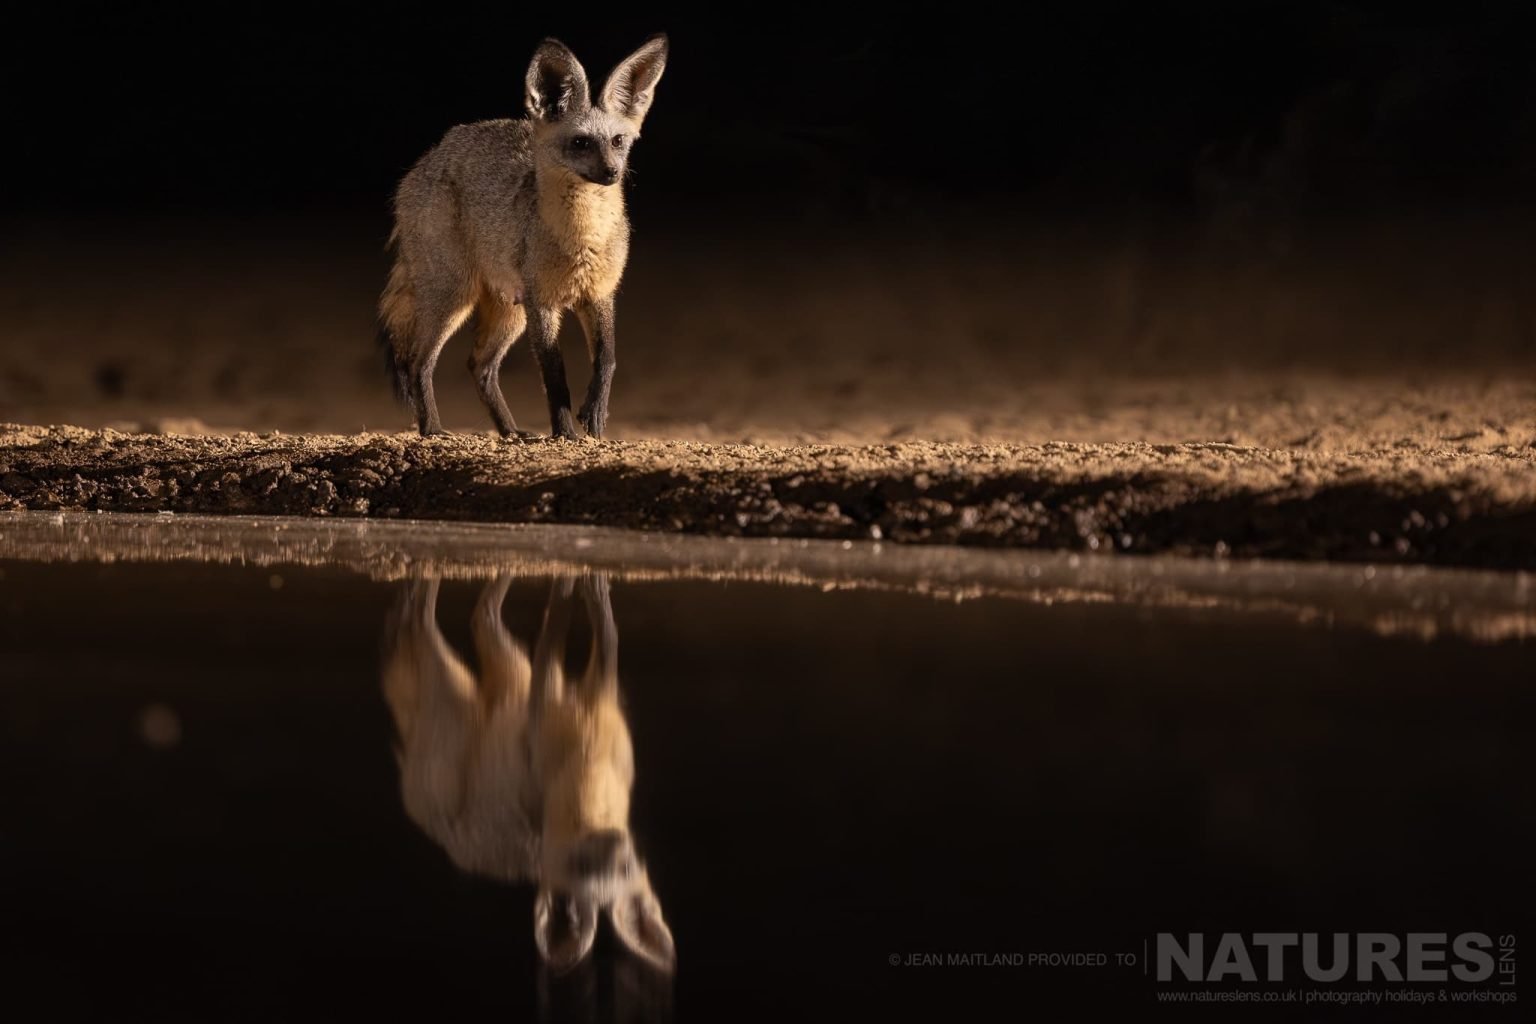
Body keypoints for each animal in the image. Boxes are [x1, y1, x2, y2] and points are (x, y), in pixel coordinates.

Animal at [377, 35, 669, 440]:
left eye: (617, 141)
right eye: (581, 143)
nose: (612, 172)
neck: (582, 243)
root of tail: (427, 159)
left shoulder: (599, 293)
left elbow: (607, 361)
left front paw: (595, 418)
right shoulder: (541, 302)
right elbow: (555, 375)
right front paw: (564, 432)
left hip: (507, 310)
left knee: (479, 366)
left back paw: (510, 431)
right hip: (455, 297)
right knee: (420, 362)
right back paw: (432, 429)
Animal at [381, 573, 675, 973]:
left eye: (626, 868)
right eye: (581, 866)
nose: (611, 845)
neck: (588, 759)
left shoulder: (598, 693)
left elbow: (606, 637)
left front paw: (585, 586)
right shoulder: (544, 698)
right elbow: (564, 627)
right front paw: (577, 583)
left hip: (509, 670)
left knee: (482, 614)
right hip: (458, 693)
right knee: (426, 620)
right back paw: (422, 589)